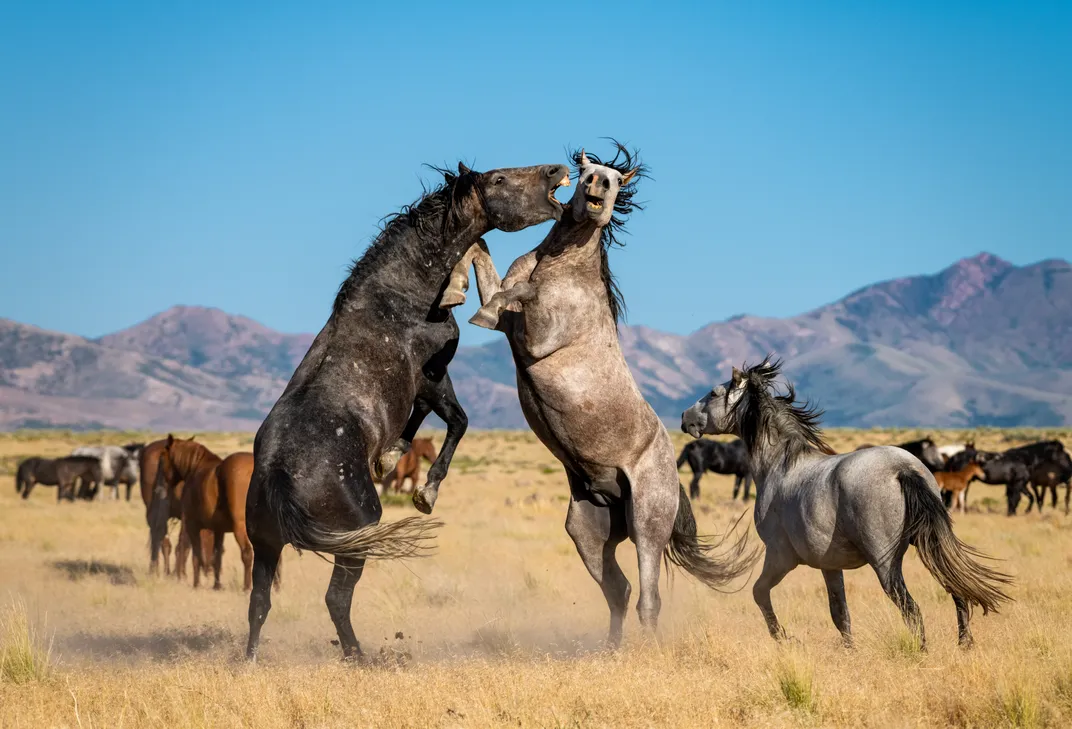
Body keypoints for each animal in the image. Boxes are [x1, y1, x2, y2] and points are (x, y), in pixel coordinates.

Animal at [246, 159, 570, 660]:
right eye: (498, 179)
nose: (556, 171)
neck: (400, 296)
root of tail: (280, 476)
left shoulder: (421, 389)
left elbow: (421, 423)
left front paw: (392, 454)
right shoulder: (434, 377)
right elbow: (457, 421)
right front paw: (424, 491)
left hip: (264, 545)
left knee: (259, 604)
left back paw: (251, 661)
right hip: (355, 535)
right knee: (336, 598)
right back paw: (359, 657)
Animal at [435, 143, 754, 647]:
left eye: (617, 180)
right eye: (586, 168)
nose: (597, 187)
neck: (563, 265)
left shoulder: (538, 334)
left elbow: (520, 292)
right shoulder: (512, 321)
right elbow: (487, 262)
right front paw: (457, 285)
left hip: (646, 525)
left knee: (648, 598)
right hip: (588, 531)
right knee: (619, 591)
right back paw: (611, 651)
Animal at [686, 358, 1011, 647]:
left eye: (713, 393)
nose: (684, 417)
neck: (780, 465)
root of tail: (903, 469)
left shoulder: (780, 556)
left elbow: (759, 592)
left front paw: (783, 639)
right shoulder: (829, 566)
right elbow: (839, 613)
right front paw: (848, 649)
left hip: (886, 564)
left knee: (912, 609)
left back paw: (921, 651)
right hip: (929, 543)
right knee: (957, 592)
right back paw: (965, 643)